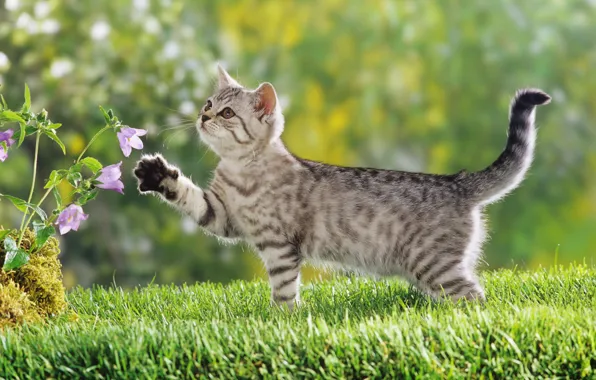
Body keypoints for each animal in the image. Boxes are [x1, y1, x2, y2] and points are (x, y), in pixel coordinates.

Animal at [134, 65, 548, 308]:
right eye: (207, 103)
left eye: (227, 112)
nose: (203, 117)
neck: (241, 171)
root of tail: (458, 182)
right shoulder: (222, 215)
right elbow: (188, 196)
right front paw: (157, 173)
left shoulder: (279, 245)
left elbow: (283, 289)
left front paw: (281, 318)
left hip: (434, 265)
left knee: (475, 298)